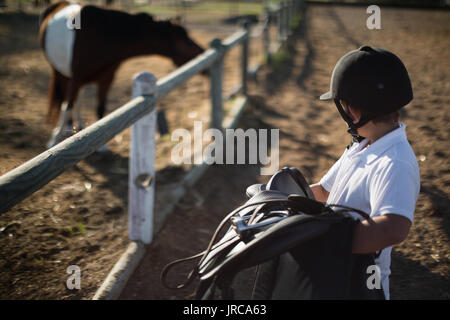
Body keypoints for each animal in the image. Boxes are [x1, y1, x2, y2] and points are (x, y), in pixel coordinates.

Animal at [39, 0, 205, 149]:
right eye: (185, 41)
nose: (202, 53)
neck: (102, 35)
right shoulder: (76, 78)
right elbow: (67, 107)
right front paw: (54, 140)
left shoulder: (106, 79)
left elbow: (100, 107)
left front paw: (102, 145)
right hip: (60, 72)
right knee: (67, 101)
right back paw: (65, 129)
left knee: (77, 100)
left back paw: (78, 126)